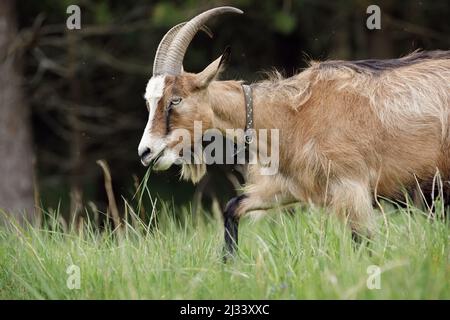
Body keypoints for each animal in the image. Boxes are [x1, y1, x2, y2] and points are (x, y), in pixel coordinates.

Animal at [137, 6, 450, 258]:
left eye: (175, 99)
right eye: (149, 102)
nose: (146, 152)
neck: (293, 115)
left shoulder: (352, 187)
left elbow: (363, 243)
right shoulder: (291, 186)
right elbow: (233, 207)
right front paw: (230, 267)